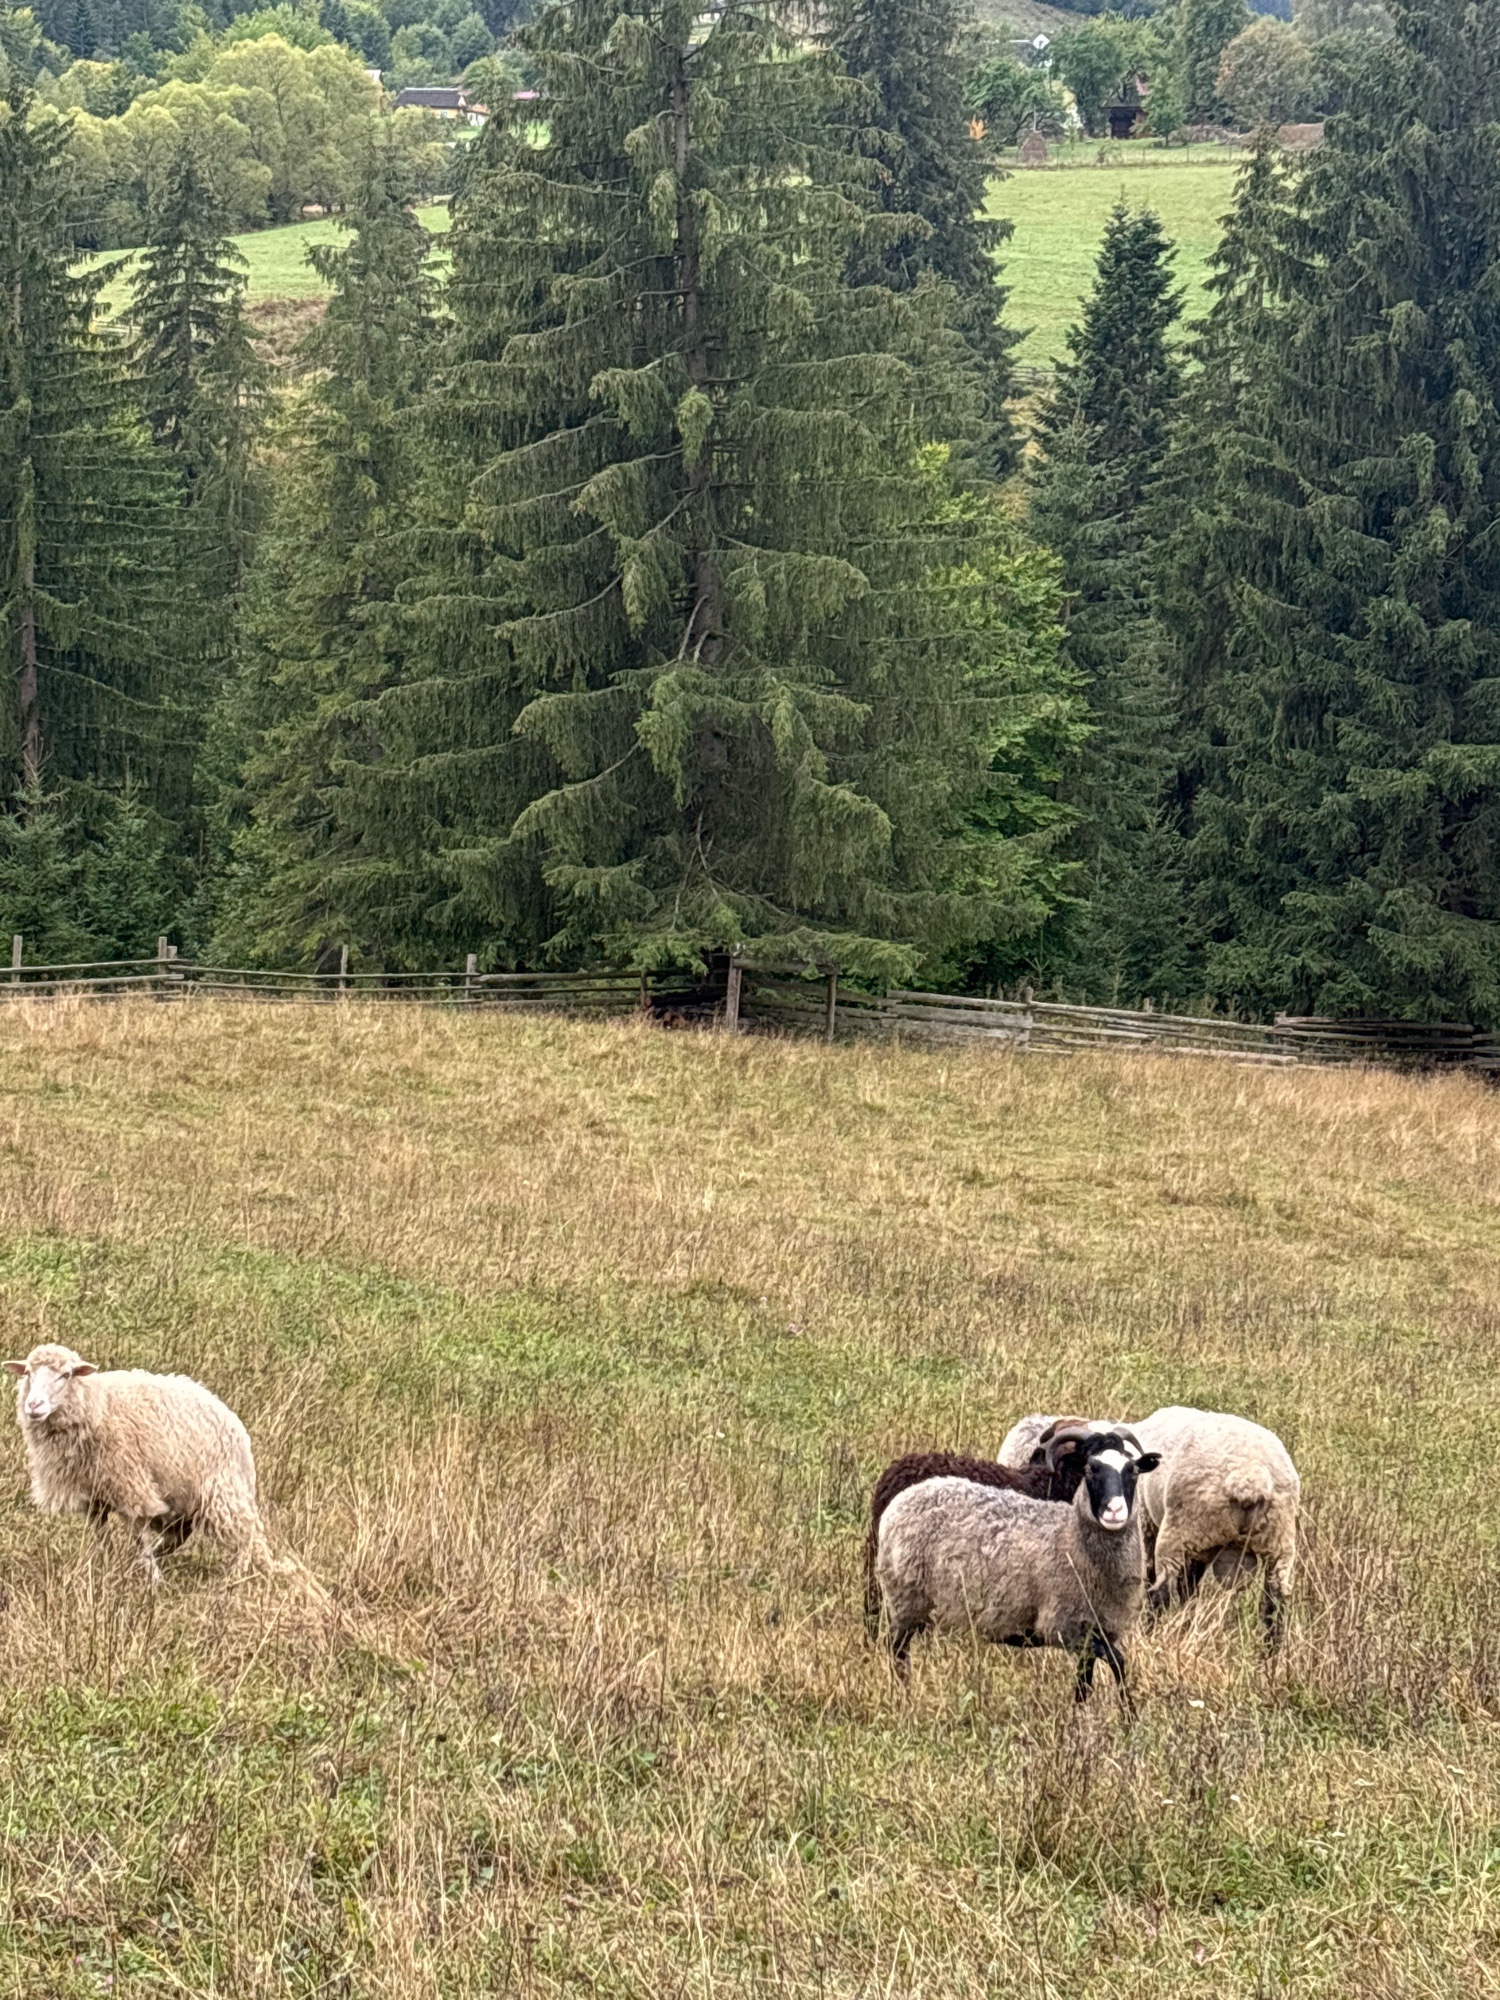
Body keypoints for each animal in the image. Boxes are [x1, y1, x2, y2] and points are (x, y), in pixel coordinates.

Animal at [6, 1342, 277, 1583]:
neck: (96, 1406)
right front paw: (108, 1566)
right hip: (186, 1499)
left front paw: (153, 1580)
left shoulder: (131, 1489)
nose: (34, 1405)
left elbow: (139, 1538)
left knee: (246, 1536)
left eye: (66, 1375)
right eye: (28, 1373)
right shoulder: (94, 1497)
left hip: (221, 1492)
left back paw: (233, 1579)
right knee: (181, 1536)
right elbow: (101, 1536)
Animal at [874, 1428, 1162, 1702]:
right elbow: (1118, 1661)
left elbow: (1085, 1679)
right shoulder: (1061, 1627)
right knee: (897, 1652)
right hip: (905, 1600)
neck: (1071, 1536)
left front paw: (1080, 1715)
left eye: (1133, 1470)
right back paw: (903, 1697)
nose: (1115, 1511)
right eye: (1090, 1469)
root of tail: (901, 1499)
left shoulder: (1096, 1628)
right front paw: (1128, 1714)